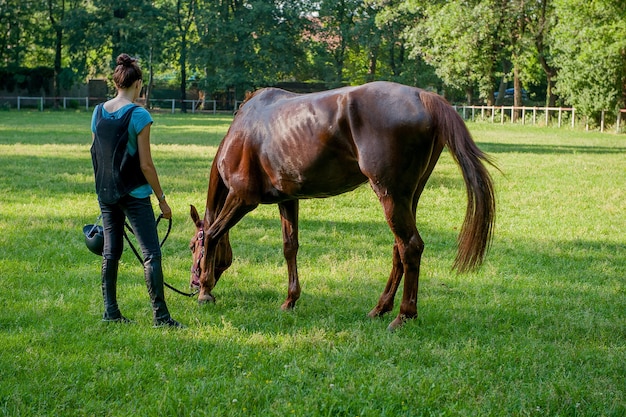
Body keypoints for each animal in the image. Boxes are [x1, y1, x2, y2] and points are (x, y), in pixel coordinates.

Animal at [188, 80, 494, 328]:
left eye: (191, 246)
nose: (192, 284)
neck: (242, 132)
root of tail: (423, 96)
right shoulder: (288, 200)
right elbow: (290, 247)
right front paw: (290, 300)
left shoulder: (241, 198)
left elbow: (213, 234)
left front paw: (205, 292)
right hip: (409, 197)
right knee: (399, 249)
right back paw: (380, 308)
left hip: (391, 196)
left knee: (410, 247)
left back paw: (403, 315)